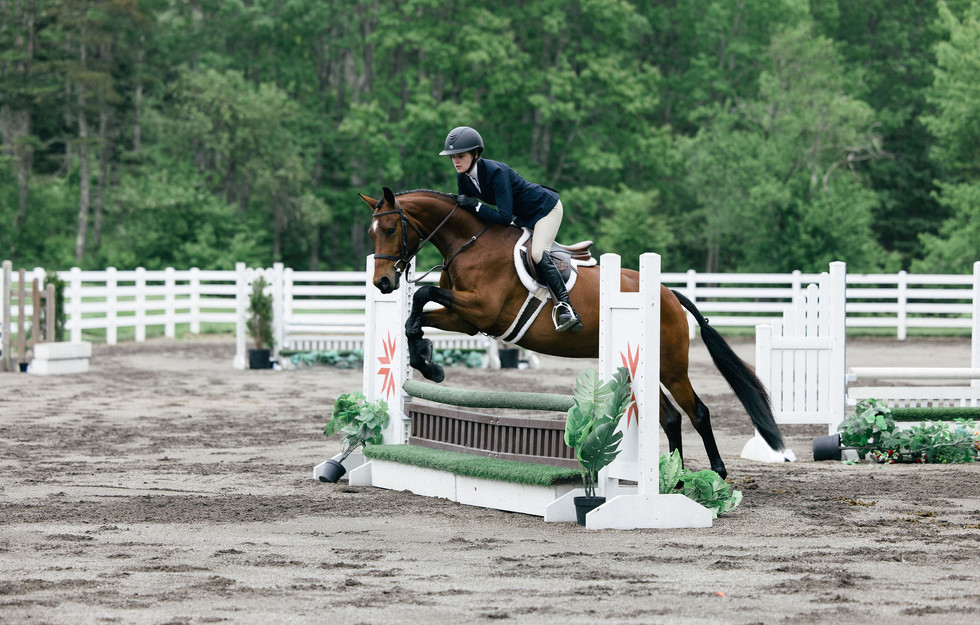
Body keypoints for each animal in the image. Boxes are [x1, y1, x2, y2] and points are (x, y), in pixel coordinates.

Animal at [359, 187, 783, 478]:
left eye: (392, 228)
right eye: (372, 231)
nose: (382, 282)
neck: (469, 243)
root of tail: (667, 293)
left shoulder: (482, 308)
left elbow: (423, 294)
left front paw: (427, 360)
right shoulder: (467, 318)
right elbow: (415, 315)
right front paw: (427, 362)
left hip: (672, 366)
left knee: (698, 412)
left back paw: (717, 474)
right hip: (652, 368)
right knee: (670, 418)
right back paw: (674, 479)